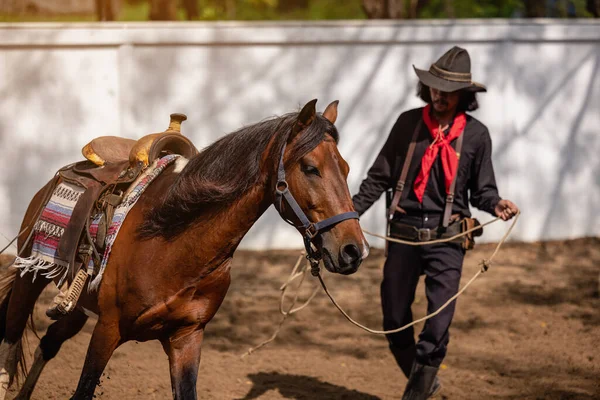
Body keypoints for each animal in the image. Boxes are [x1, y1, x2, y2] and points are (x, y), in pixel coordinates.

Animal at [0, 98, 366, 398]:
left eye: (347, 168)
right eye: (310, 168)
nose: (353, 250)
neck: (172, 242)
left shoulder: (186, 337)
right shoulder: (107, 329)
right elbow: (83, 390)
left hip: (78, 306)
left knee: (48, 342)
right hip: (29, 278)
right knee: (10, 342)